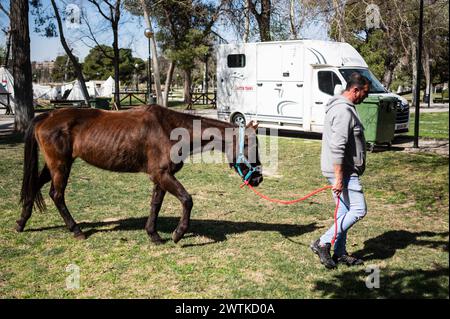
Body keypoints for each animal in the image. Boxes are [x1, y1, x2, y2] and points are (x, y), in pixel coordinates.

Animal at [17, 104, 262, 244]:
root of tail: (46, 116)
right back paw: (76, 230)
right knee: (57, 195)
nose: (258, 178)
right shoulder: (162, 175)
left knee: (34, 186)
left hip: (53, 165)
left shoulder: (161, 177)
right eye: (250, 145)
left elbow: (155, 204)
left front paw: (153, 234)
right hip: (61, 165)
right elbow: (187, 200)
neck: (169, 129)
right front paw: (178, 233)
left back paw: (21, 223)